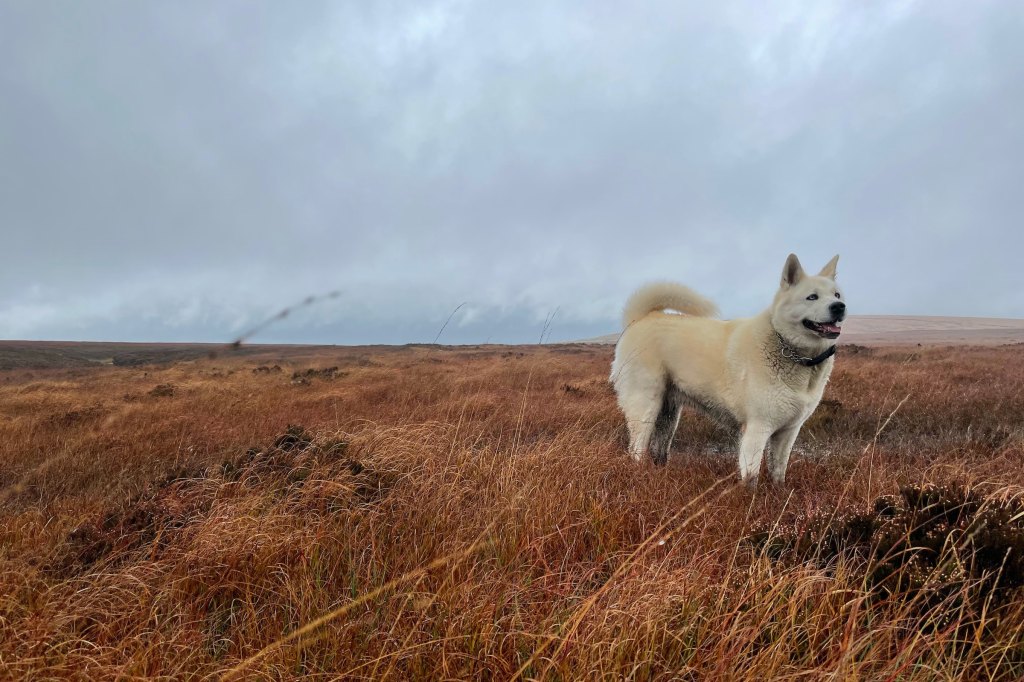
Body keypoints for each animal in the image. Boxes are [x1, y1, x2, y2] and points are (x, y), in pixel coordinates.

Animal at [610, 253, 843, 483]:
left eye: (837, 295)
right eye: (812, 297)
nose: (839, 307)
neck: (787, 347)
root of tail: (640, 318)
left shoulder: (787, 433)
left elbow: (778, 474)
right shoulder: (757, 429)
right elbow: (751, 478)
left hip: (668, 415)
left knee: (659, 450)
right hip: (645, 408)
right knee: (637, 449)